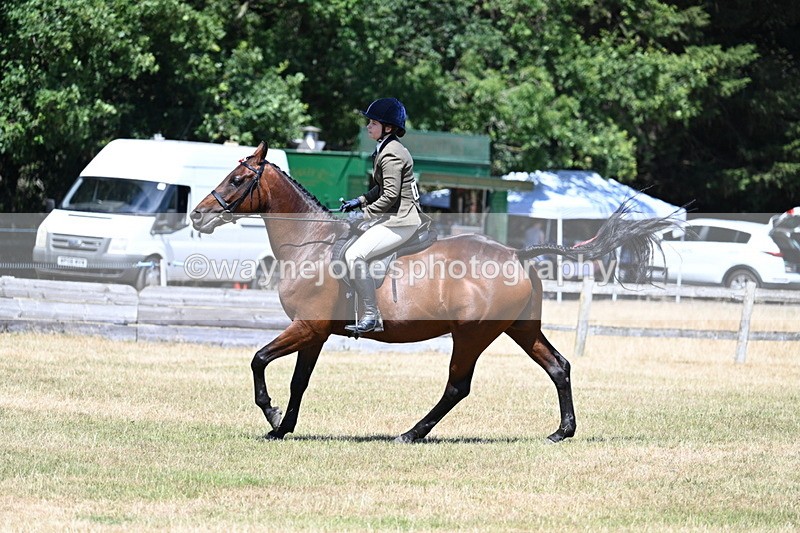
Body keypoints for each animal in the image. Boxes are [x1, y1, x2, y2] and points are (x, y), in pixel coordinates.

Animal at [190, 141, 677, 443]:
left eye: (237, 180)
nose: (197, 215)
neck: (311, 243)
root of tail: (517, 254)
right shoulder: (316, 331)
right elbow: (298, 380)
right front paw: (282, 427)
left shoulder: (308, 326)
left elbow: (258, 360)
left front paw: (271, 416)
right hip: (521, 328)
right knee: (558, 367)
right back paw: (562, 431)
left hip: (472, 335)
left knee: (457, 386)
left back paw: (411, 432)